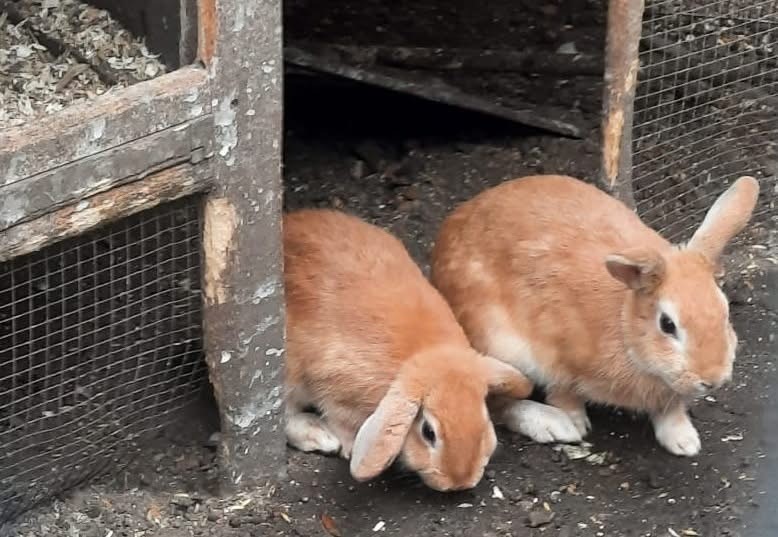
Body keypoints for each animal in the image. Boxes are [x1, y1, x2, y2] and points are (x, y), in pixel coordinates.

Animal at [283, 208, 534, 490]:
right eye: (428, 432)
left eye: (483, 415)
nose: (459, 482)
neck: (428, 352)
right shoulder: (334, 386)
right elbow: (341, 419)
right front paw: (348, 446)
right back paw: (318, 436)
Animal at [430, 174, 760, 456]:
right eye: (668, 324)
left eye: (725, 312)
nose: (713, 379)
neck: (625, 323)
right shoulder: (556, 356)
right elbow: (563, 392)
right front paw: (575, 422)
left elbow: (670, 409)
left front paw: (683, 441)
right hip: (500, 346)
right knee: (498, 404)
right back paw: (553, 424)